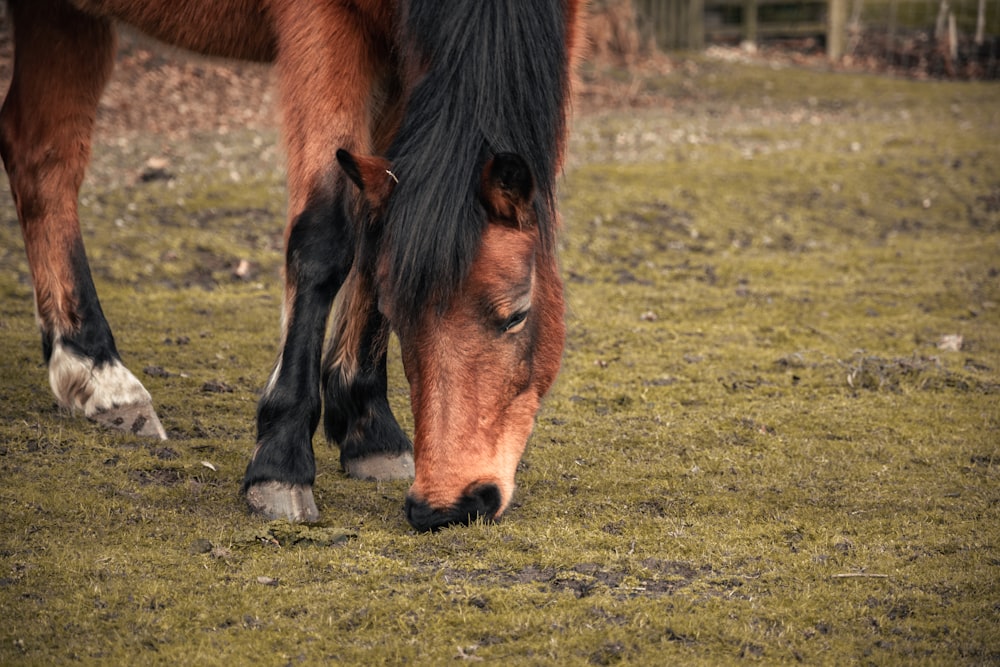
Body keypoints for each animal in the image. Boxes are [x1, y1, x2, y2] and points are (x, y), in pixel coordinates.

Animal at [1, 0, 584, 532]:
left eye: (517, 315)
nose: (446, 506)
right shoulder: (324, 23)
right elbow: (326, 239)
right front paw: (281, 460)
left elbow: (374, 234)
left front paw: (369, 428)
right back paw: (98, 367)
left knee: (40, 154)